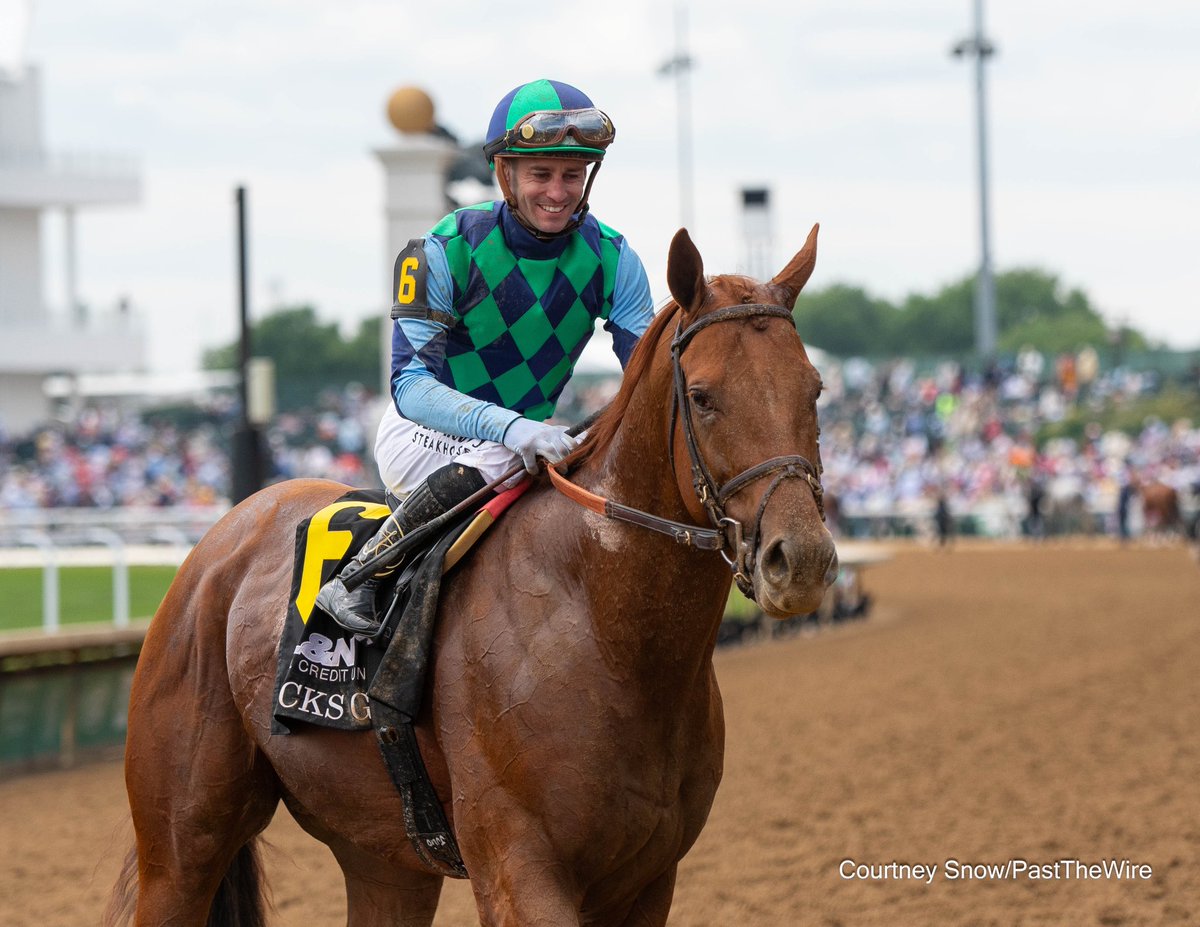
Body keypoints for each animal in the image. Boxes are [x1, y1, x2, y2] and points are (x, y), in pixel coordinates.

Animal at [105, 224, 837, 927]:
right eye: (703, 396)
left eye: (816, 389)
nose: (799, 559)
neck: (605, 631)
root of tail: (226, 533)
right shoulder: (519, 868)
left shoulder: (647, 880)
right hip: (181, 845)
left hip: (385, 858)